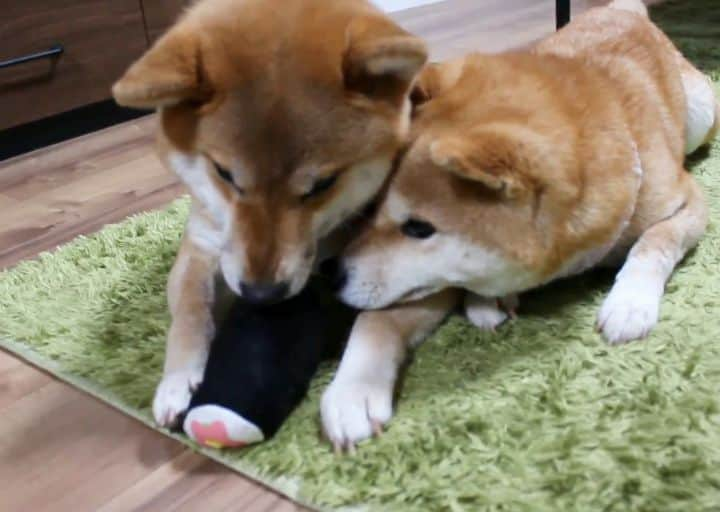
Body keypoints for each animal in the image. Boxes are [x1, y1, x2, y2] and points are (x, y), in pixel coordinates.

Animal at [111, 0, 428, 428]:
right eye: (225, 174)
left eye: (322, 184)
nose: (261, 295)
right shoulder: (202, 243)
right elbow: (191, 309)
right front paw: (178, 380)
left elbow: (381, 317)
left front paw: (354, 390)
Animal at [324, 2, 716, 452]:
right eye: (371, 206)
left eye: (419, 228)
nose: (333, 275)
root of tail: (618, 9)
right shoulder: (429, 279)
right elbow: (378, 320)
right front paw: (352, 389)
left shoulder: (689, 201)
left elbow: (654, 241)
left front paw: (630, 302)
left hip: (701, 114)